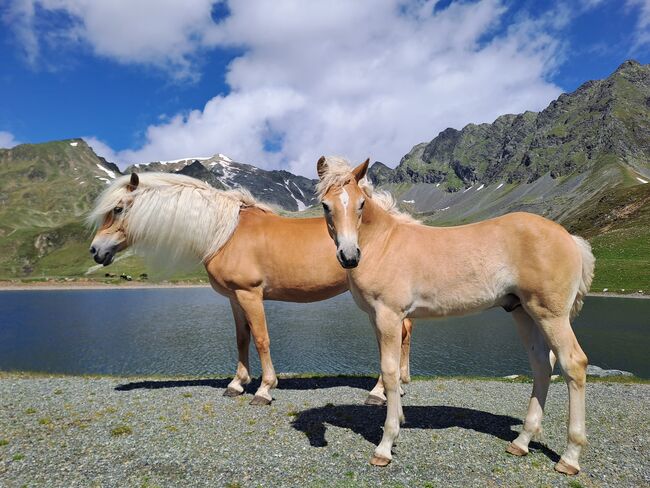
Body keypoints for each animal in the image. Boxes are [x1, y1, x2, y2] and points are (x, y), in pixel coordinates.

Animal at [87, 171, 410, 404]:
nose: (95, 251)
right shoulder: (234, 297)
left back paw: (378, 392)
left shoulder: (250, 294)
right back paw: (399, 384)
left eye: (118, 209)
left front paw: (265, 389)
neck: (225, 232)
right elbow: (242, 339)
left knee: (391, 341)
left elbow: (261, 339)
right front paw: (237, 384)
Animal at [316, 157, 596, 476]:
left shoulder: (389, 316)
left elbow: (389, 373)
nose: (349, 256)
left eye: (361, 204)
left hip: (552, 316)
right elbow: (391, 372)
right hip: (524, 313)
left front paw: (385, 446)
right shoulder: (377, 319)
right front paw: (397, 424)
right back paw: (521, 442)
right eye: (326, 205)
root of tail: (571, 238)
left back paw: (569, 457)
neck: (383, 242)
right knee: (541, 366)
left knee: (573, 364)